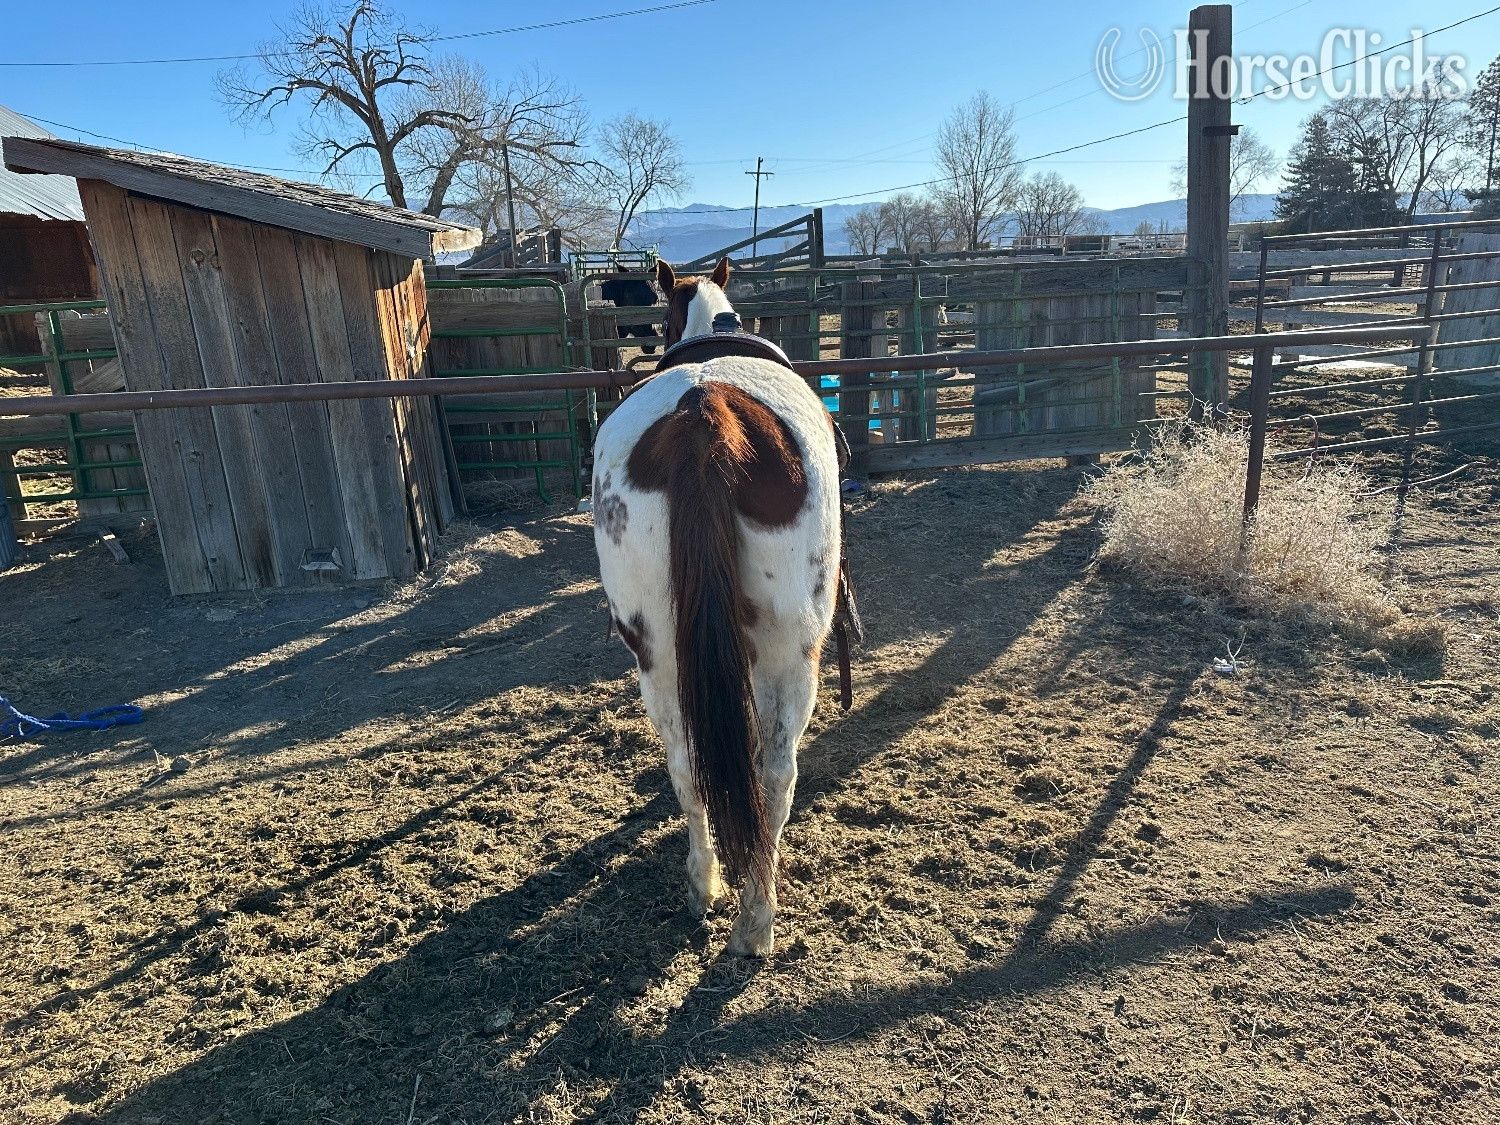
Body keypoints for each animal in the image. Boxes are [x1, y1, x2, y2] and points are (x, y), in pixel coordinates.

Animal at [590, 256, 843, 957]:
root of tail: (704, 418)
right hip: (795, 652)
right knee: (776, 771)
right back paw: (755, 914)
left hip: (660, 655)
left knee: (688, 764)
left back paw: (708, 889)